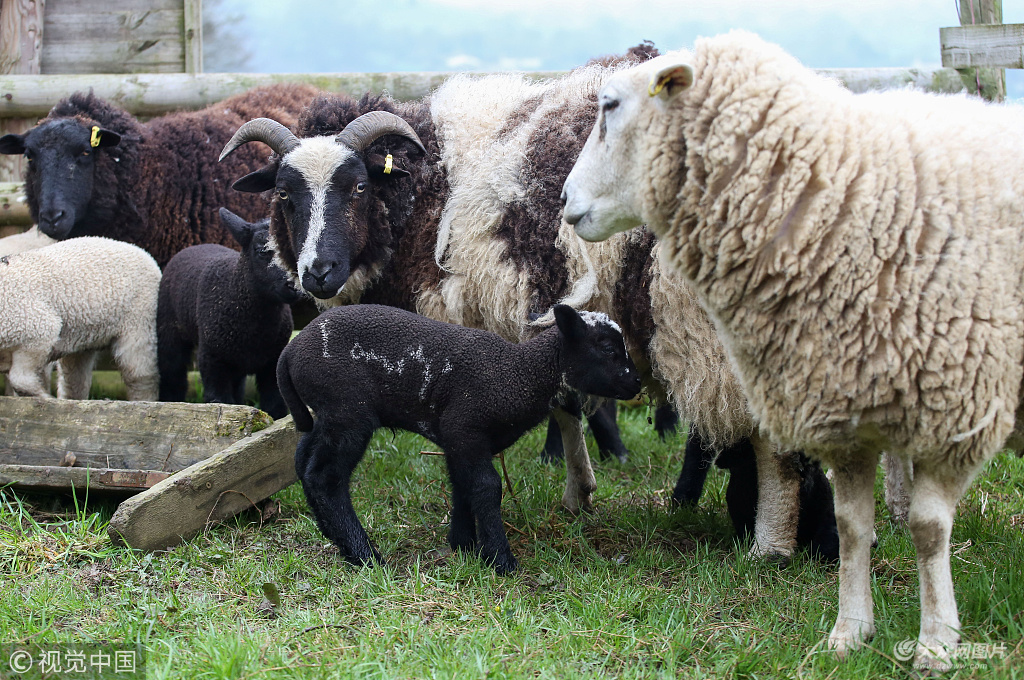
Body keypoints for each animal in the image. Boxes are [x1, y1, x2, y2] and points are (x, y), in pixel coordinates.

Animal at [0, 236, 160, 401]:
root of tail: (143, 252)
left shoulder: (38, 330)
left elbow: (20, 379)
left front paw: (42, 396)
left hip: (139, 319)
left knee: (140, 375)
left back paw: (145, 400)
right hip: (82, 336)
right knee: (75, 381)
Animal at [155, 209, 299, 417]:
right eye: (261, 251)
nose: (295, 286)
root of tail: (197, 245)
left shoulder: (273, 362)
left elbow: (274, 405)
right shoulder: (212, 360)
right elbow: (220, 401)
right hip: (169, 330)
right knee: (172, 373)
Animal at [274, 303, 638, 573]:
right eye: (607, 347)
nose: (635, 384)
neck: (519, 374)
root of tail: (289, 351)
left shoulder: (457, 440)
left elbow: (462, 485)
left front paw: (463, 545)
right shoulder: (465, 429)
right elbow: (488, 487)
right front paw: (500, 560)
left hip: (326, 415)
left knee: (303, 461)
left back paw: (336, 539)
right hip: (347, 411)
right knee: (325, 477)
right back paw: (365, 555)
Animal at [561, 27, 1024, 667]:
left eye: (609, 105)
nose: (564, 200)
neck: (839, 193)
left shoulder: (956, 407)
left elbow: (929, 530)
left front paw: (936, 644)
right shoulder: (843, 408)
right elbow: (851, 525)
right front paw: (849, 634)